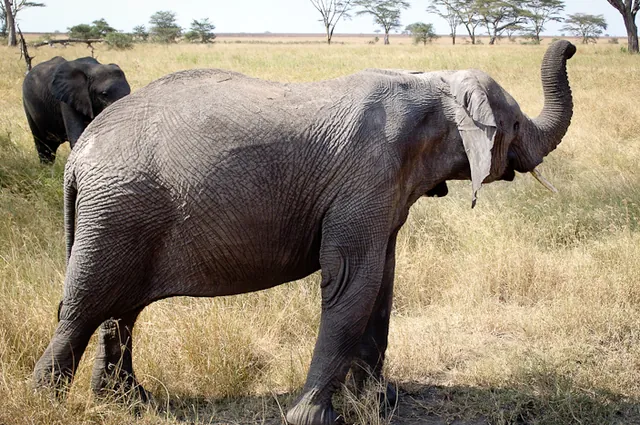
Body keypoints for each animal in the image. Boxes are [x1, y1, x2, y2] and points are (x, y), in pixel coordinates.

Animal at [33, 40, 575, 425]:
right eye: (511, 124)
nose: (569, 45)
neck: (429, 81)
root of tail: (77, 162)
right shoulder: (366, 177)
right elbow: (351, 282)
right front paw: (315, 418)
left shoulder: (384, 190)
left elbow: (381, 282)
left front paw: (381, 404)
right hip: (117, 211)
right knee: (81, 308)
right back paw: (45, 403)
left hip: (120, 215)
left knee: (118, 312)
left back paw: (128, 402)